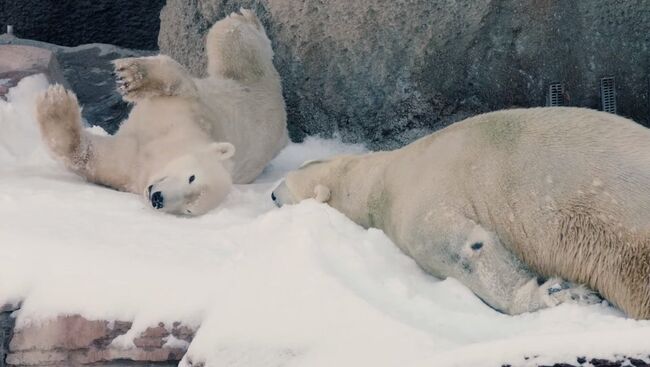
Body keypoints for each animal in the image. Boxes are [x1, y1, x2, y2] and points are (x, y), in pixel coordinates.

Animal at [35, 9, 286, 216]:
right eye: (192, 176)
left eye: (188, 208)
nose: (158, 199)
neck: (164, 146)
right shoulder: (191, 111)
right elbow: (178, 80)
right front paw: (132, 76)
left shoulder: (132, 170)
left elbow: (88, 156)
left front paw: (56, 104)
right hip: (247, 90)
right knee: (232, 42)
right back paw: (244, 18)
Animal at [270, 107, 650, 320]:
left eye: (287, 183)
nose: (271, 193)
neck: (376, 180)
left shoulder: (417, 204)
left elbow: (464, 249)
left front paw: (559, 292)